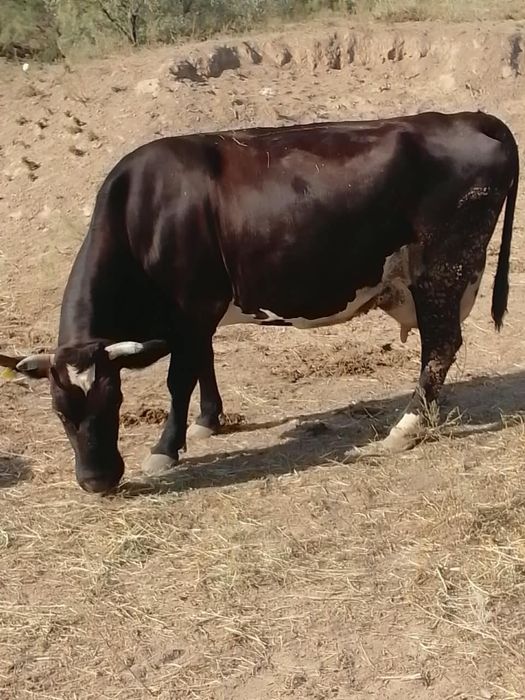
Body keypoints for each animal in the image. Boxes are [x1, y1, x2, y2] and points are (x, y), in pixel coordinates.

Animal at [0, 110, 519, 494]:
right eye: (59, 412)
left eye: (116, 398)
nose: (97, 480)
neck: (142, 214)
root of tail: (467, 117)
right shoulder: (194, 317)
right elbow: (204, 363)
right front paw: (209, 420)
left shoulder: (192, 309)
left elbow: (178, 380)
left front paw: (166, 448)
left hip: (443, 269)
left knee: (440, 347)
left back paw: (403, 430)